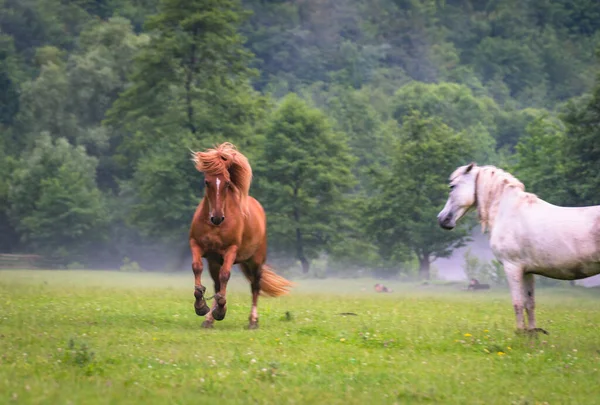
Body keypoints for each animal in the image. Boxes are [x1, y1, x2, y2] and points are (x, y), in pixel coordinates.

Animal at [188, 142, 290, 328]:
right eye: (207, 182)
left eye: (227, 183)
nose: (217, 218)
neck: (215, 226)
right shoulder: (197, 245)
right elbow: (197, 268)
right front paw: (201, 306)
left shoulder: (231, 249)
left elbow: (226, 275)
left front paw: (221, 310)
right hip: (215, 262)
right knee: (217, 284)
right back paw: (209, 320)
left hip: (256, 261)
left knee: (255, 287)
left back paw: (253, 321)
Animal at [436, 163, 600, 332]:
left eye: (452, 186)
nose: (442, 219)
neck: (507, 211)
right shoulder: (527, 271)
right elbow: (530, 305)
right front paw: (531, 335)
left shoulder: (512, 267)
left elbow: (518, 304)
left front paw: (520, 333)